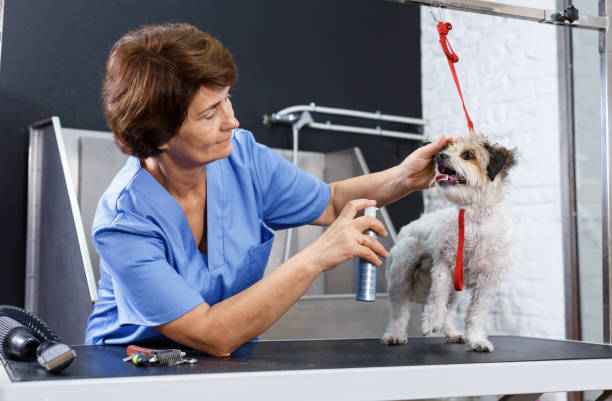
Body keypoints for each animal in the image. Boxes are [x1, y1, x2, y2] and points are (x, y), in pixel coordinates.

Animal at [382, 131, 516, 350]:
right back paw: (395, 334)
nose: (439, 156)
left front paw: (476, 339)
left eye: (468, 155)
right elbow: (437, 297)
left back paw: (452, 332)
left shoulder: (487, 281)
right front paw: (431, 322)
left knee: (449, 310)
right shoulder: (443, 265)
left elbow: (477, 313)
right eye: (443, 148)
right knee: (399, 311)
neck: (473, 219)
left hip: (456, 290)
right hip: (400, 277)